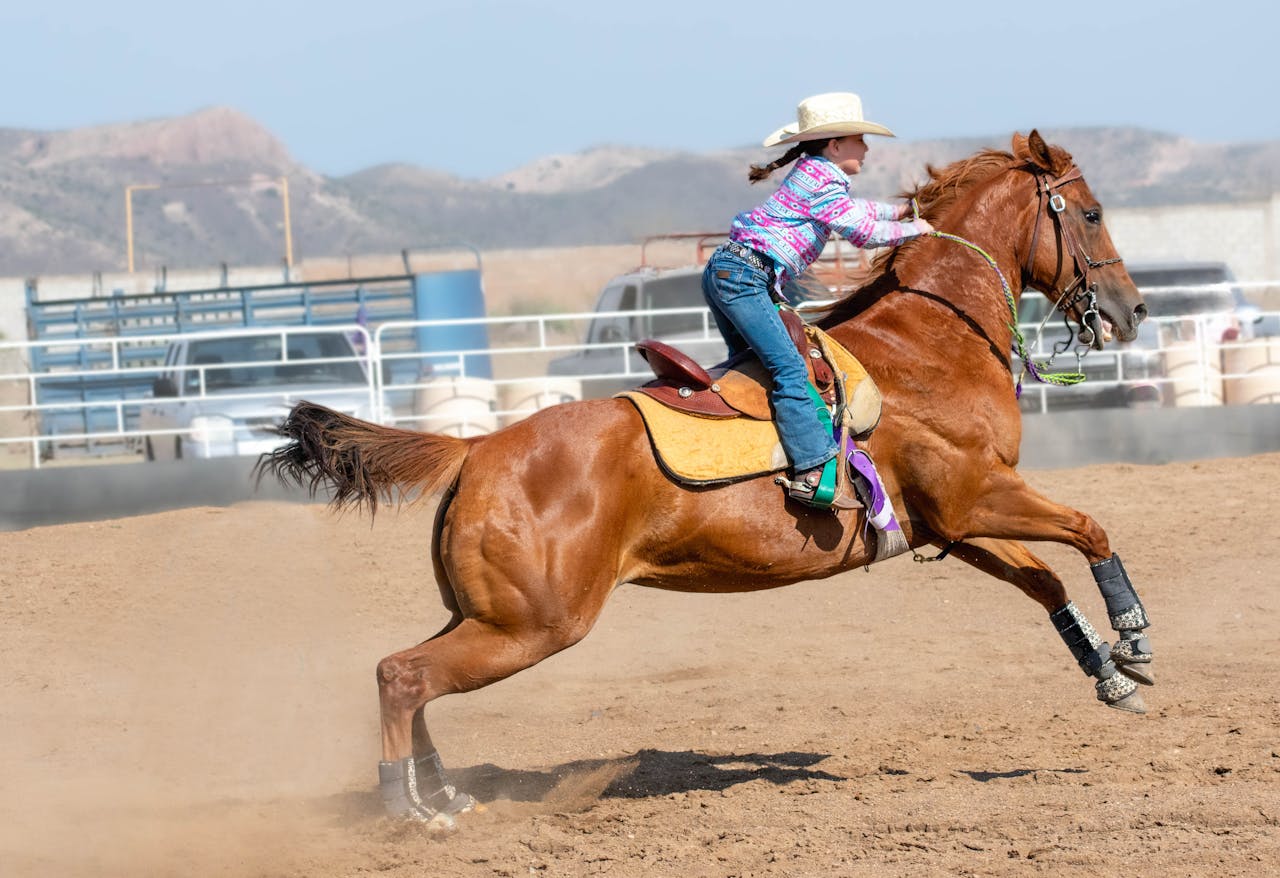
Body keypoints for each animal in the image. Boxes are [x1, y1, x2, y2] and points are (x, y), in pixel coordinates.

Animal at [258, 130, 1152, 830]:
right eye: (1092, 213)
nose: (1131, 311)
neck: (930, 344)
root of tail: (476, 449)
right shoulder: (977, 497)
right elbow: (1091, 529)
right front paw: (1135, 633)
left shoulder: (952, 525)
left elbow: (1042, 582)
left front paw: (1112, 673)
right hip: (534, 625)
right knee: (403, 676)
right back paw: (409, 808)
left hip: (488, 614)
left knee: (409, 676)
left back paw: (440, 796)